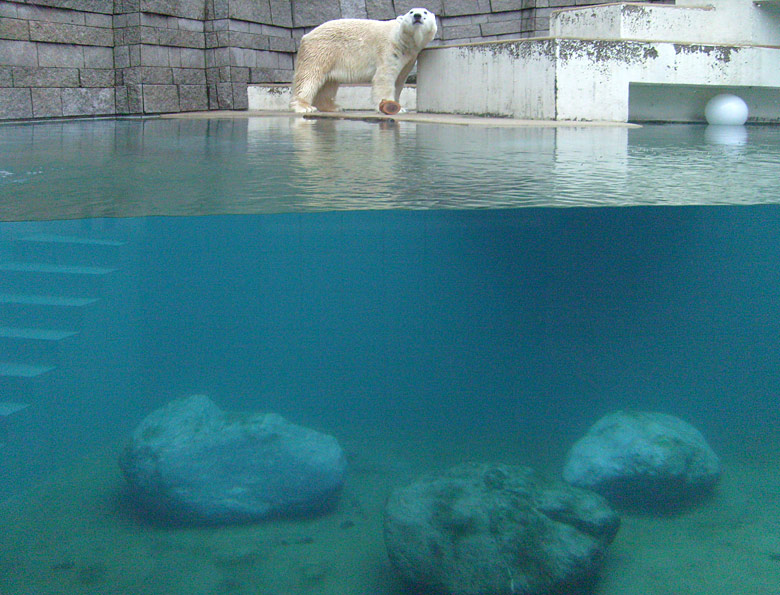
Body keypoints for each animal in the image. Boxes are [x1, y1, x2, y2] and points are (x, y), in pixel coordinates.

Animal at [292, 8, 436, 114]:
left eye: (425, 12)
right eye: (411, 12)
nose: (417, 16)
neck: (402, 39)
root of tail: (306, 35)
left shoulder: (409, 58)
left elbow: (399, 81)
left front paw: (400, 107)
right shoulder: (389, 49)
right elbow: (384, 78)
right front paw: (390, 106)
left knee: (329, 83)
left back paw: (333, 107)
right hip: (321, 50)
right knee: (309, 76)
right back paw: (304, 106)